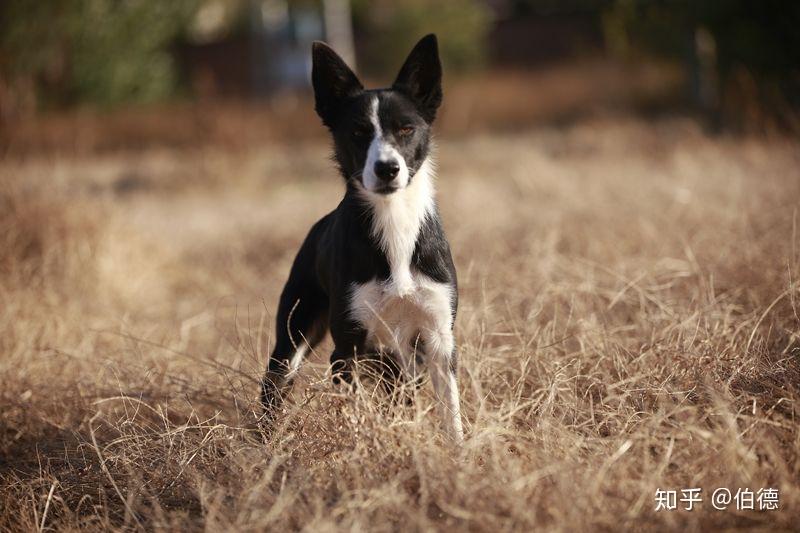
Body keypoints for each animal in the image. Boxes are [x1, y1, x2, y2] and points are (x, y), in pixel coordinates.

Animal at [262, 34, 462, 440]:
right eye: (357, 132)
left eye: (406, 129)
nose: (387, 168)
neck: (394, 221)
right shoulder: (348, 347)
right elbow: (357, 415)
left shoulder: (439, 340)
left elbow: (452, 417)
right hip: (293, 336)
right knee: (273, 385)